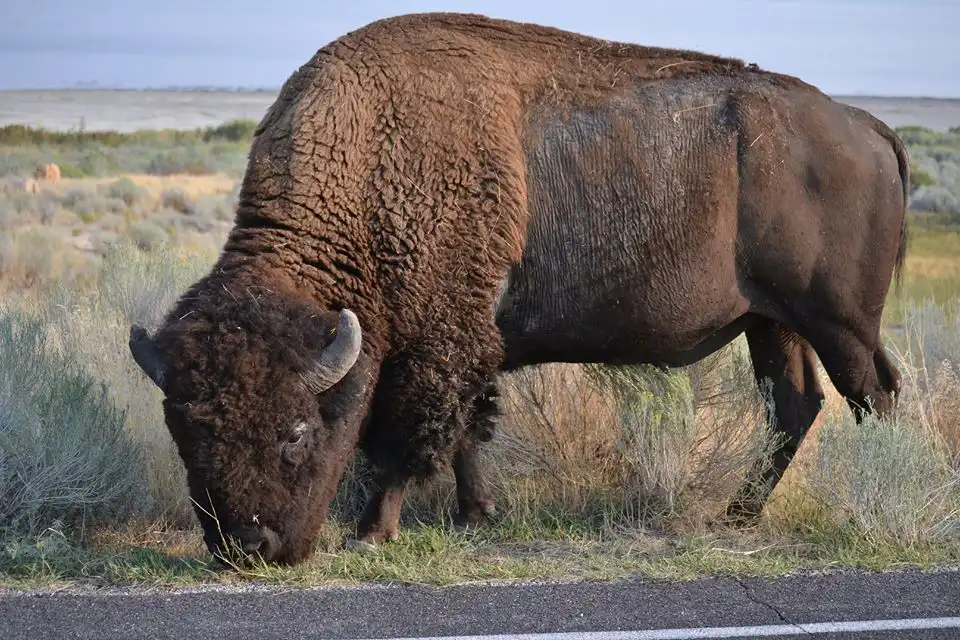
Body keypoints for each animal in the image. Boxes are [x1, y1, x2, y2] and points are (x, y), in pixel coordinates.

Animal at [129, 12, 909, 565]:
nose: (246, 548)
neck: (370, 165)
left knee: (872, 394)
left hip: (839, 321)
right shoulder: (474, 344)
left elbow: (407, 439)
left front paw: (371, 532)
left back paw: (881, 494)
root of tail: (865, 124)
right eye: (184, 434)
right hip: (772, 322)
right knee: (795, 406)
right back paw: (736, 514)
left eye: (294, 430)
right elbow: (470, 433)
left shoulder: (436, 349)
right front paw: (477, 516)